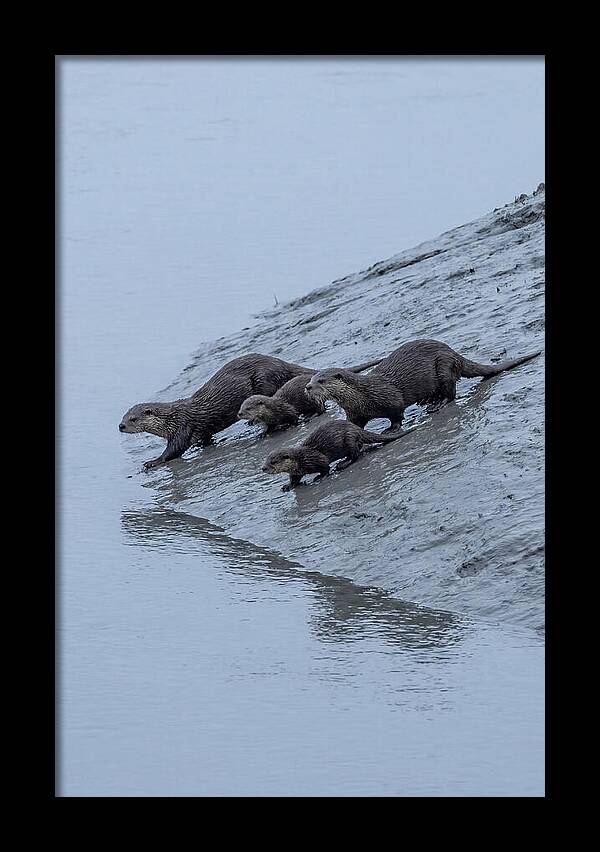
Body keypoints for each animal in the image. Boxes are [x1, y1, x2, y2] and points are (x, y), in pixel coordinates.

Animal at [237, 358, 381, 433]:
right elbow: (269, 426)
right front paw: (264, 432)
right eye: (241, 407)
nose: (239, 414)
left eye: (248, 408)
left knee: (321, 409)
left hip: (314, 399)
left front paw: (292, 424)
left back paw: (310, 416)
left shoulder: (286, 409)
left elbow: (293, 417)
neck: (272, 410)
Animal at [261, 420, 412, 491]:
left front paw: (319, 477)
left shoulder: (316, 458)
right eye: (266, 460)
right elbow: (294, 479)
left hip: (349, 439)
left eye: (273, 462)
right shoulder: (296, 471)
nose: (263, 468)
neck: (300, 459)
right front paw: (288, 486)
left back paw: (343, 464)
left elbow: (325, 467)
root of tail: (356, 428)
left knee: (356, 454)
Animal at [305, 339, 541, 430]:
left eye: (321, 381)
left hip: (443, 366)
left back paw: (438, 404)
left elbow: (397, 414)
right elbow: (354, 426)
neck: (362, 395)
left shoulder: (390, 398)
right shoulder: (355, 413)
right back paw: (429, 400)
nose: (307, 387)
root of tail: (455, 354)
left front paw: (391, 429)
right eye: (310, 380)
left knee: (451, 392)